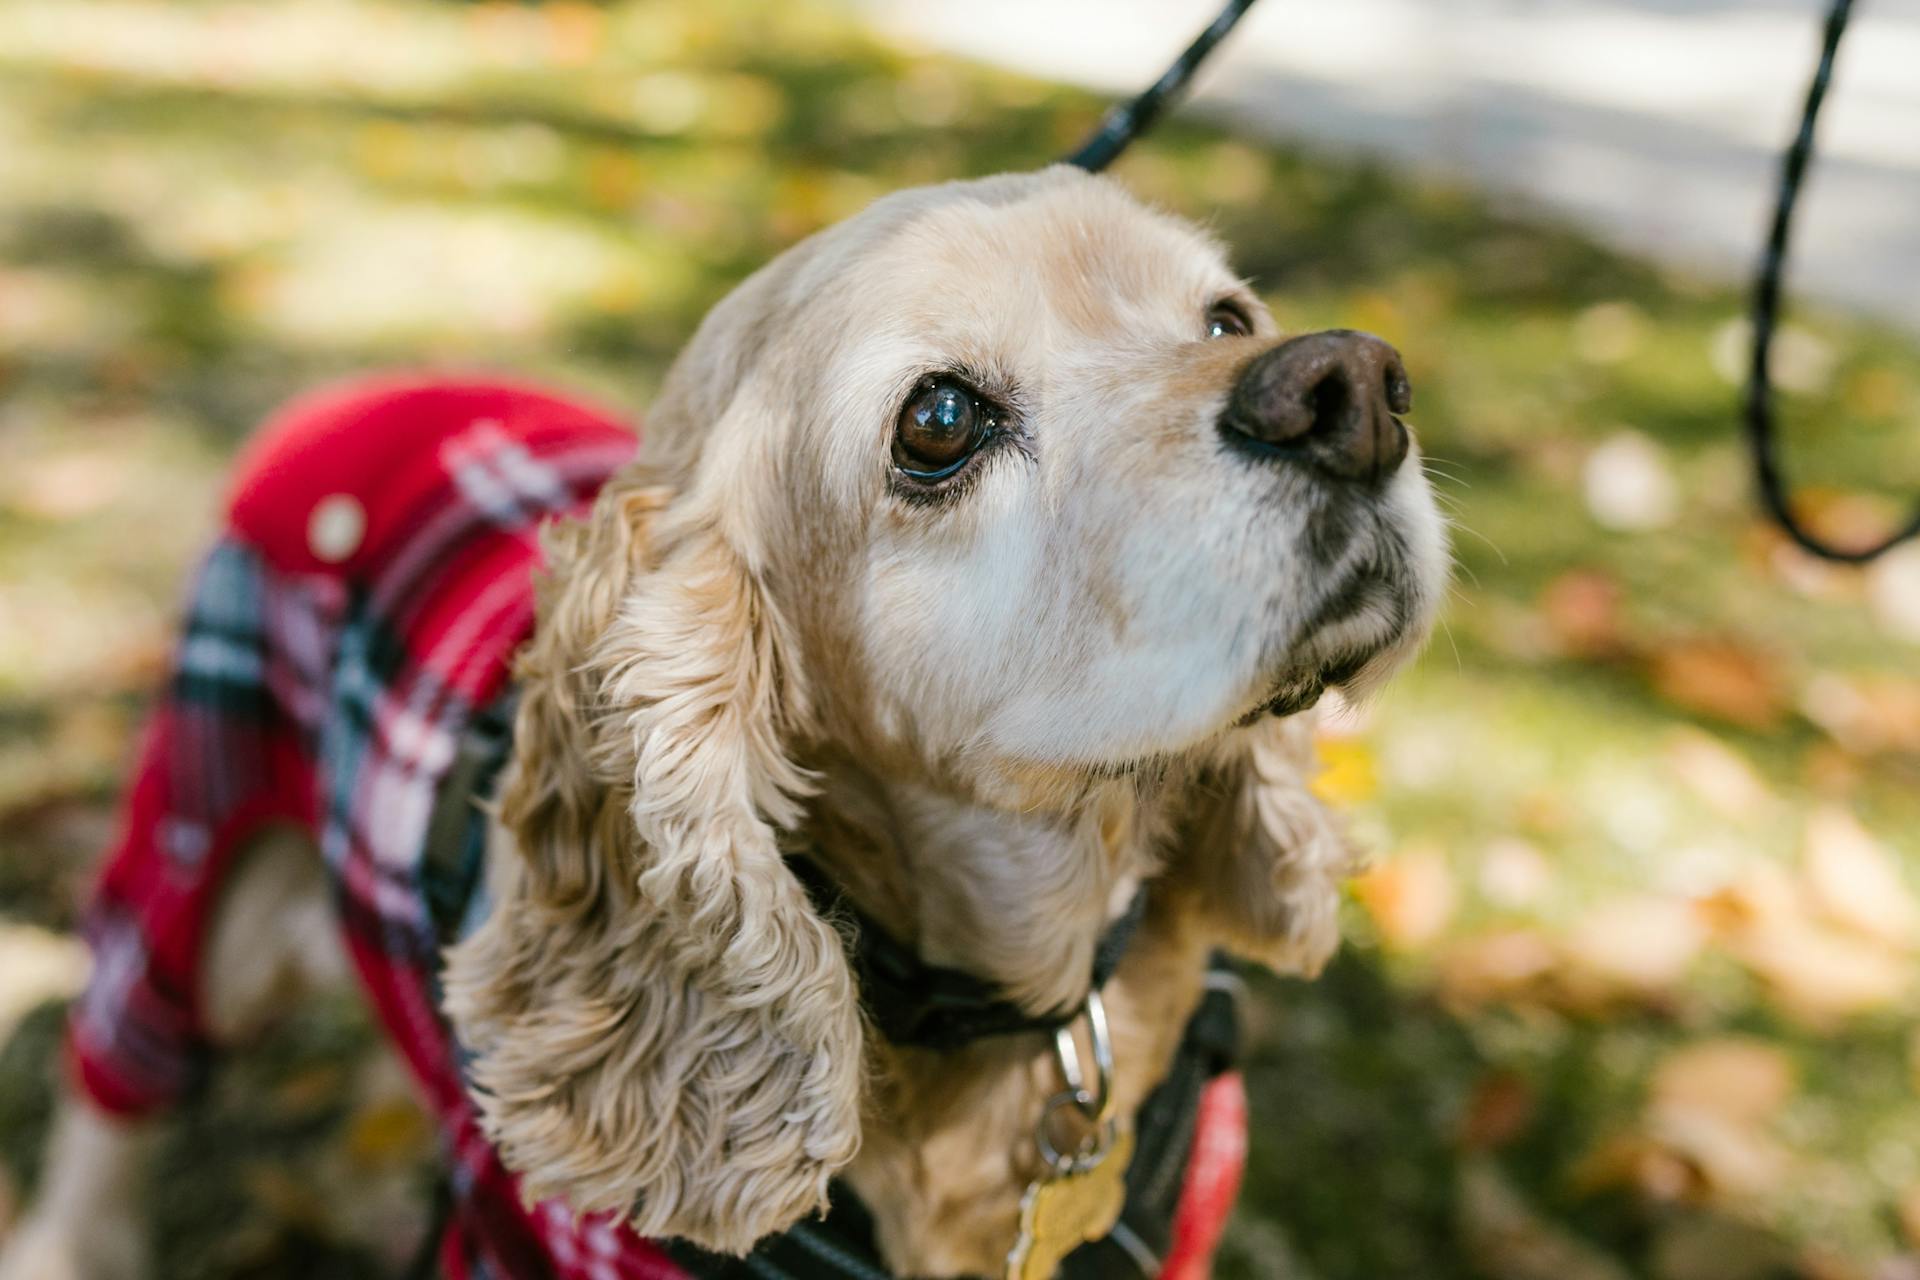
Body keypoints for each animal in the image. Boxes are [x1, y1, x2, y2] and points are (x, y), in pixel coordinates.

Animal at [0, 169, 1443, 1280]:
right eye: (939, 421)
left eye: (1228, 314)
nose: (1353, 388)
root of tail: (360, 392)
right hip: (202, 865)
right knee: (113, 1076)